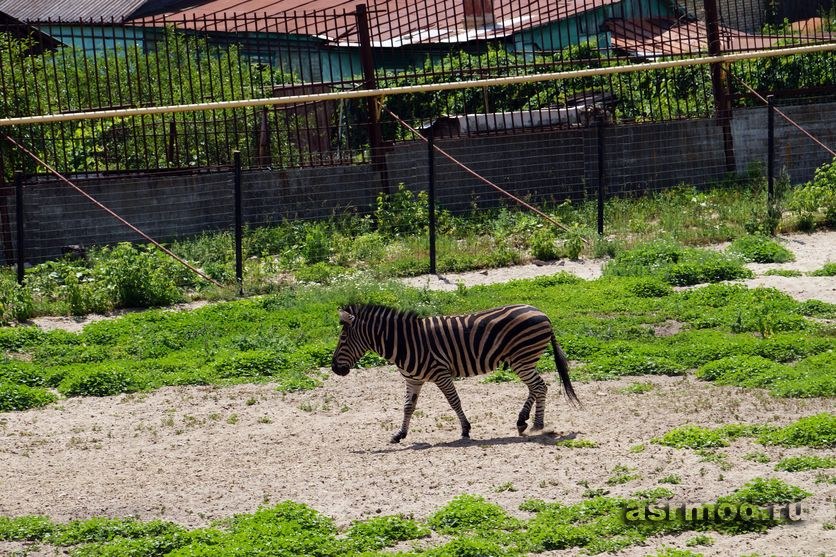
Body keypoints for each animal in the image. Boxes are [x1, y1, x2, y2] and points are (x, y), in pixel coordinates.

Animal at [330, 302, 580, 440]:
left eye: (342, 339)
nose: (334, 368)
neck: (404, 343)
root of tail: (542, 313)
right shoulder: (413, 380)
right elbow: (408, 407)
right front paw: (400, 434)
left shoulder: (440, 373)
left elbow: (454, 401)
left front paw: (466, 429)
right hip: (523, 360)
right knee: (535, 388)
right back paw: (522, 421)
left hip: (522, 359)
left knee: (539, 387)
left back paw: (537, 425)